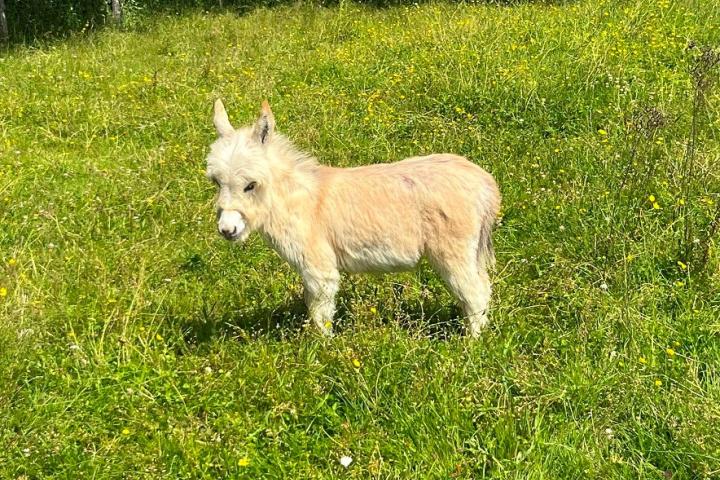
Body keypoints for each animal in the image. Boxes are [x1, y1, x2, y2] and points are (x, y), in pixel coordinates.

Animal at [205, 99, 500, 336]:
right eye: (216, 182)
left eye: (250, 185)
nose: (227, 230)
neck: (301, 202)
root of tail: (484, 182)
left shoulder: (319, 267)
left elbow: (320, 312)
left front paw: (322, 350)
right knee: (483, 288)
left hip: (453, 252)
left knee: (474, 293)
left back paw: (471, 344)